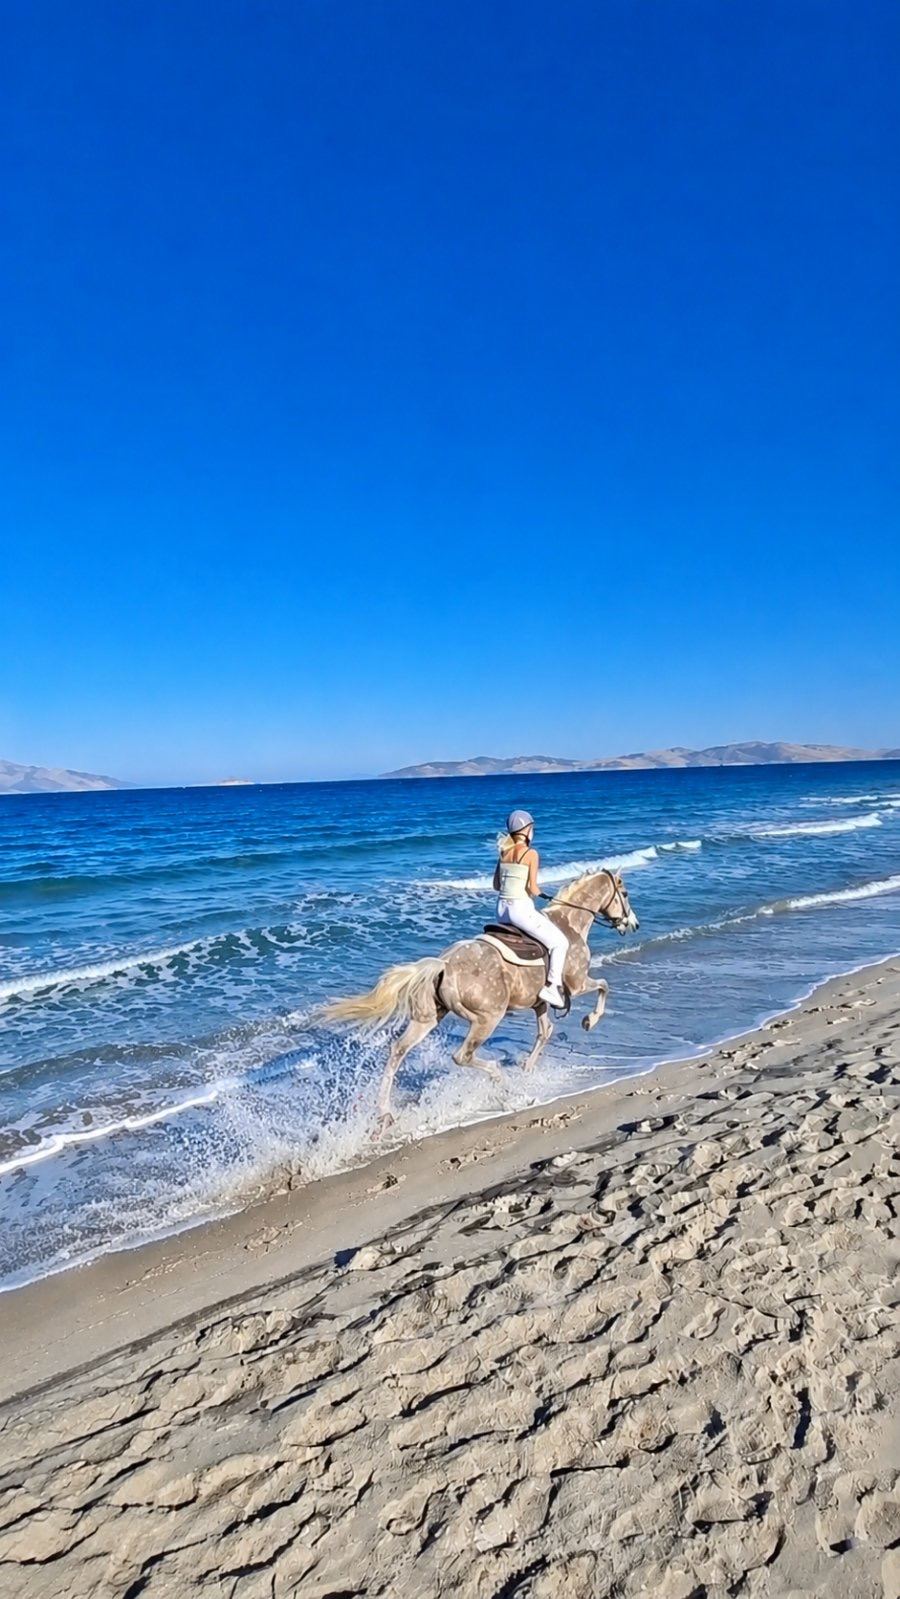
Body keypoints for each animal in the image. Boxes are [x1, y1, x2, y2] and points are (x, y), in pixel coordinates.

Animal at [321, 867, 639, 1125]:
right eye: (623, 893)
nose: (632, 924)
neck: (568, 922)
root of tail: (444, 964)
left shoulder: (539, 1003)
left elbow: (545, 1031)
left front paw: (528, 1068)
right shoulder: (577, 983)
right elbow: (604, 986)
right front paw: (590, 1021)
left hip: (429, 1018)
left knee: (398, 1050)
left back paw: (385, 1114)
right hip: (487, 1019)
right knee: (462, 1055)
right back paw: (499, 1078)